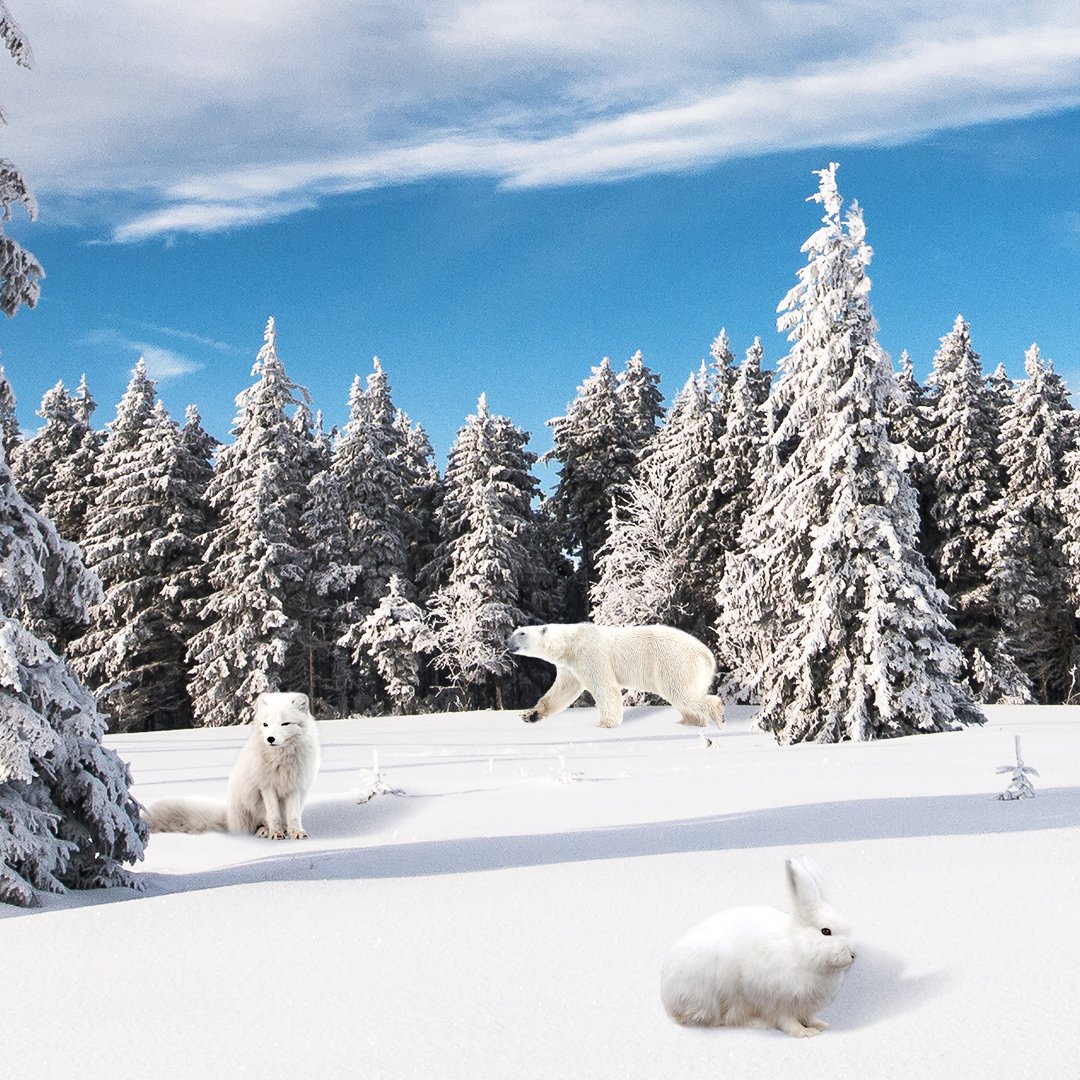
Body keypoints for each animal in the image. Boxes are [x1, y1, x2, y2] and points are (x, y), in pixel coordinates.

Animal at [150, 695, 321, 838]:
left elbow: (293, 815)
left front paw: (296, 832)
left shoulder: (294, 786)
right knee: (257, 825)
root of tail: (228, 819)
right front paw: (276, 833)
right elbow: (273, 815)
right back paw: (264, 830)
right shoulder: (266, 787)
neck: (281, 760)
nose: (270, 739)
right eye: (265, 724)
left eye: (285, 724)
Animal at [505, 622, 725, 730]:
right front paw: (529, 715)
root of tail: (706, 654)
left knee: (681, 692)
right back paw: (689, 721)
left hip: (674, 661)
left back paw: (717, 715)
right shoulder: (569, 666)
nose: (507, 642)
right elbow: (562, 691)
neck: (570, 643)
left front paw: (604, 724)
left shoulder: (590, 653)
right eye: (515, 631)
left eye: (522, 633)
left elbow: (604, 687)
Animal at [660, 851, 855, 1036]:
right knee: (720, 1018)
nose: (852, 955)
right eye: (826, 931)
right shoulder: (776, 1000)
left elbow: (808, 1016)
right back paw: (758, 1023)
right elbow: (786, 1020)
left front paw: (820, 1025)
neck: (798, 948)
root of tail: (668, 997)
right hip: (713, 994)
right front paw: (804, 1033)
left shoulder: (802, 1005)